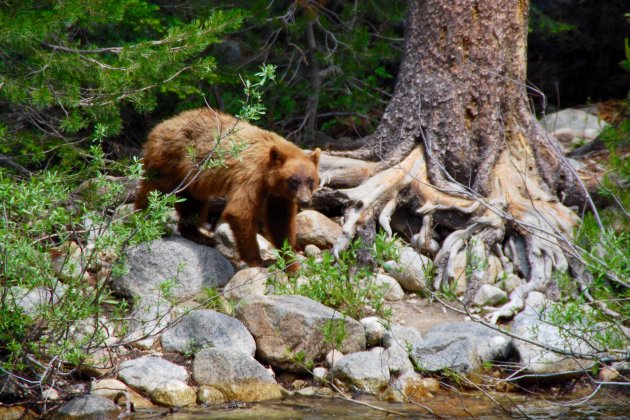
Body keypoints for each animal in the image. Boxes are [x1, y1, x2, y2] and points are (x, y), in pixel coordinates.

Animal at [135, 107, 320, 266]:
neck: (268, 176)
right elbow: (239, 212)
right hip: (168, 161)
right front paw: (257, 260)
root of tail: (160, 125)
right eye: (294, 181)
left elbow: (279, 221)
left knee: (193, 203)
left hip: (190, 179)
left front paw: (290, 263)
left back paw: (198, 235)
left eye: (310, 181)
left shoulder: (279, 195)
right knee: (153, 192)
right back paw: (144, 221)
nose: (305, 201)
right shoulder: (250, 176)